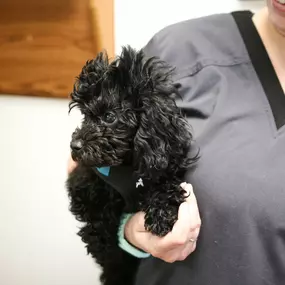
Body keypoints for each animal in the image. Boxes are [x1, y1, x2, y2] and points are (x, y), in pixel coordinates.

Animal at [65, 45, 196, 282]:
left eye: (109, 116)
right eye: (85, 115)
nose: (74, 145)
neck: (126, 165)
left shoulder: (164, 165)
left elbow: (165, 184)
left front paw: (162, 214)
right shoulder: (82, 181)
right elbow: (95, 213)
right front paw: (103, 245)